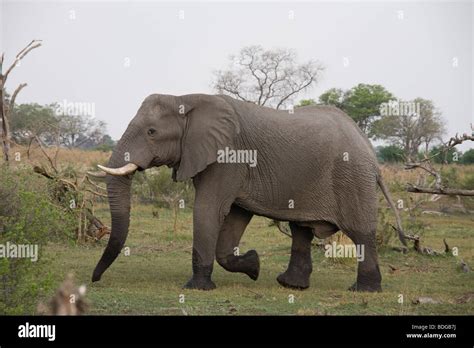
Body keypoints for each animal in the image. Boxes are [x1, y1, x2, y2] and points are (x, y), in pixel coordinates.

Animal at [90, 92, 406, 290]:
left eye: (152, 132)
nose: (94, 280)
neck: (186, 98)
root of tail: (369, 149)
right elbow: (233, 217)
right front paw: (253, 266)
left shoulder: (228, 156)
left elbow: (209, 209)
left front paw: (196, 288)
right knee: (301, 229)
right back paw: (290, 285)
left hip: (352, 178)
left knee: (360, 232)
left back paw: (363, 291)